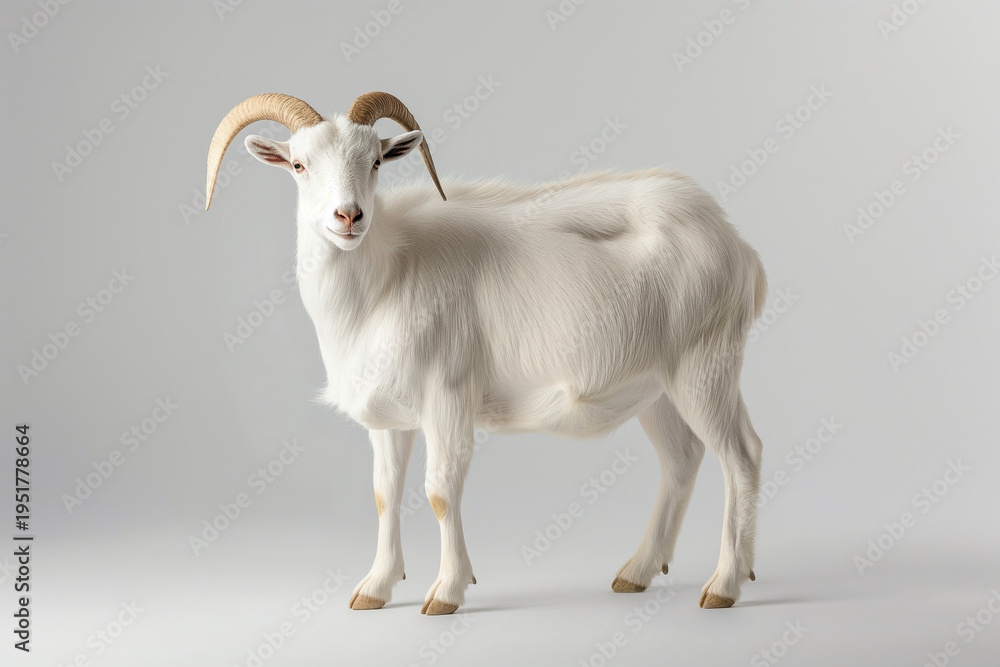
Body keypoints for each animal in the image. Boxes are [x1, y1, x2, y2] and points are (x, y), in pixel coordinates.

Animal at [205, 92, 767, 615]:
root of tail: (738, 247)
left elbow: (439, 489)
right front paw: (374, 589)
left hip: (705, 366)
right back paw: (637, 572)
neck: (385, 280)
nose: (349, 216)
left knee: (742, 455)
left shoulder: (448, 393)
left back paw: (724, 585)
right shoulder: (391, 416)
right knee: (682, 459)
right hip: (657, 387)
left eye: (376, 161)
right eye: (300, 165)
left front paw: (447, 592)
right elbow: (385, 492)